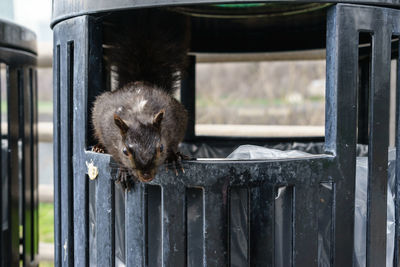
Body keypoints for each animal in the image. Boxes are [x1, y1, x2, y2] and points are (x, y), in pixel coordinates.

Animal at [92, 9, 189, 189]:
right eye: (125, 151)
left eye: (161, 148)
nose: (146, 176)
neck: (139, 113)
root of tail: (140, 80)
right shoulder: (107, 132)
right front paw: (123, 171)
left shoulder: (176, 118)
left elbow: (174, 143)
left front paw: (173, 156)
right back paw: (99, 148)